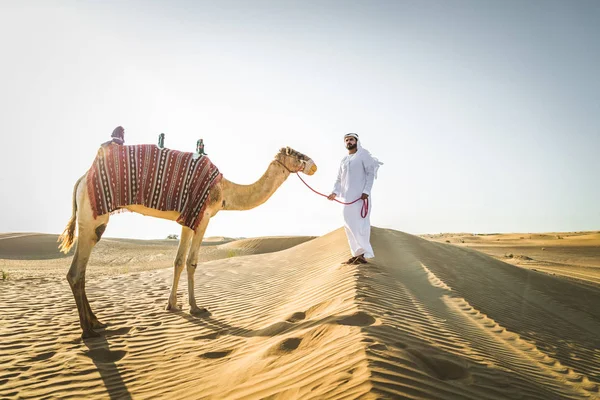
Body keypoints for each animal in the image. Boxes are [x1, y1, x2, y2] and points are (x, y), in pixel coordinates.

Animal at [58, 145, 316, 336]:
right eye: (298, 154)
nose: (314, 165)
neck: (225, 192)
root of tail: (81, 179)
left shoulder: (187, 219)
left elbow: (178, 261)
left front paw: (173, 305)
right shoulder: (203, 217)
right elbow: (192, 262)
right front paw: (196, 308)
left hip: (93, 220)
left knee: (80, 270)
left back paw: (96, 323)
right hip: (92, 215)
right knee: (76, 272)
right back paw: (89, 331)